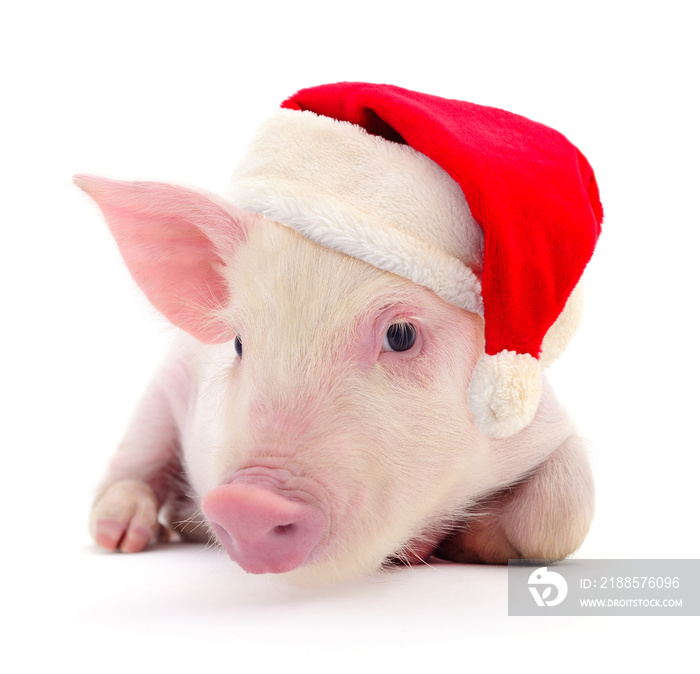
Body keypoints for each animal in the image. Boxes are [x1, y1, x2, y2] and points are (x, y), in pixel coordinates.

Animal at [78, 81, 600, 580]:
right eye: (240, 343)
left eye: (401, 335)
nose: (247, 502)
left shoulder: (541, 421)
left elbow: (566, 509)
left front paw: (458, 544)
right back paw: (122, 535)